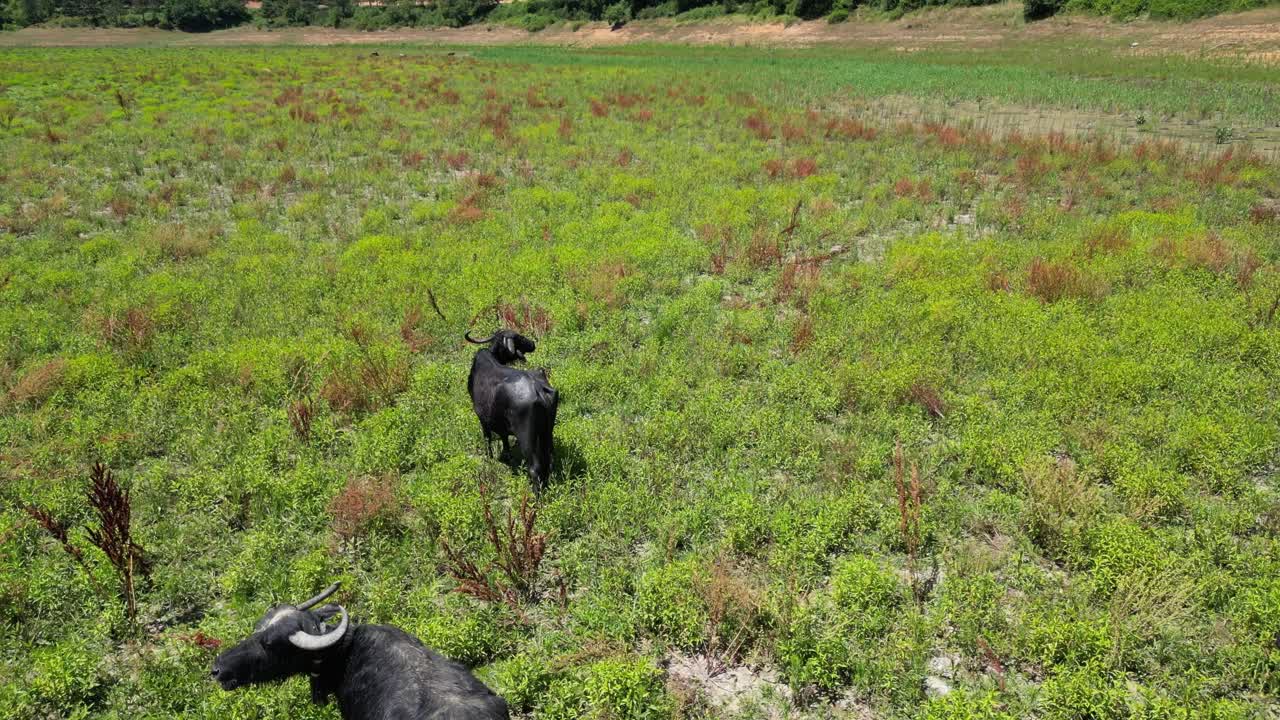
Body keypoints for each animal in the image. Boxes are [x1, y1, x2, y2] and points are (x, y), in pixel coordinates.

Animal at [465, 329, 559, 492]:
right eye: (519, 337)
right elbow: (504, 437)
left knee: (534, 468)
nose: (532, 344)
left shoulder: (482, 419)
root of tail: (538, 389)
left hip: (527, 438)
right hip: (547, 432)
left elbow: (488, 439)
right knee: (549, 458)